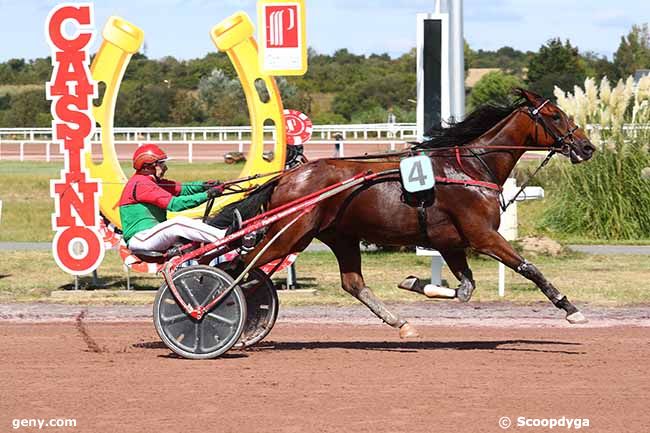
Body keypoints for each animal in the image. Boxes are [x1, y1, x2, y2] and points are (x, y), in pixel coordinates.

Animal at [208, 88, 592, 338]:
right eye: (556, 116)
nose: (587, 147)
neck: (468, 168)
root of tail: (287, 176)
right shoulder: (481, 235)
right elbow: (529, 268)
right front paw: (570, 309)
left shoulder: (451, 242)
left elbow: (465, 289)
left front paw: (414, 283)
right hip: (291, 234)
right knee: (242, 265)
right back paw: (213, 308)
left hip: (339, 236)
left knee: (353, 283)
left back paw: (400, 323)